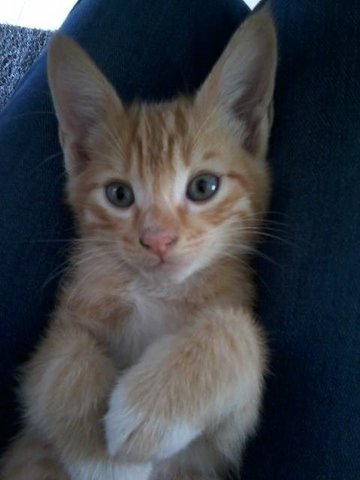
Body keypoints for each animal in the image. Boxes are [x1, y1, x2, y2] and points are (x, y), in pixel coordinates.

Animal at [0, 8, 278, 480]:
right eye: (119, 195)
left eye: (203, 187)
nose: (158, 239)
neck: (156, 292)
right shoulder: (40, 366)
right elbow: (64, 356)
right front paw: (98, 456)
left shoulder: (223, 444)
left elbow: (238, 334)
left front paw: (151, 410)